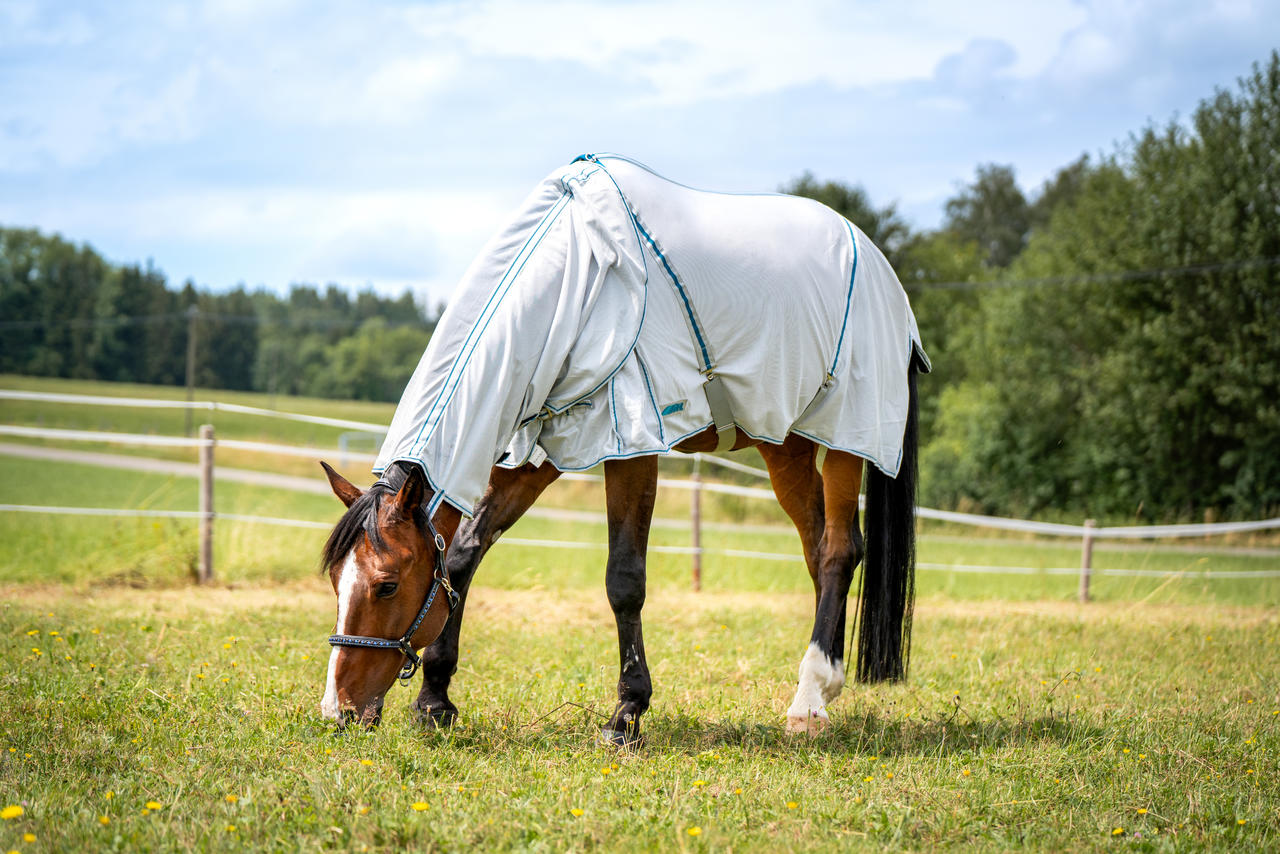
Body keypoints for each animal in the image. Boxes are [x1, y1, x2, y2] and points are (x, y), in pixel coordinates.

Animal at [314, 153, 926, 742]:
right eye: (336, 581)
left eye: (387, 586)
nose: (339, 711)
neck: (574, 284)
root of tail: (883, 273)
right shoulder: (538, 446)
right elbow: (464, 555)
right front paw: (435, 700)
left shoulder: (629, 443)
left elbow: (624, 580)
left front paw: (627, 713)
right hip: (788, 444)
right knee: (818, 551)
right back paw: (822, 687)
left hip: (849, 433)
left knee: (839, 550)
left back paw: (808, 704)